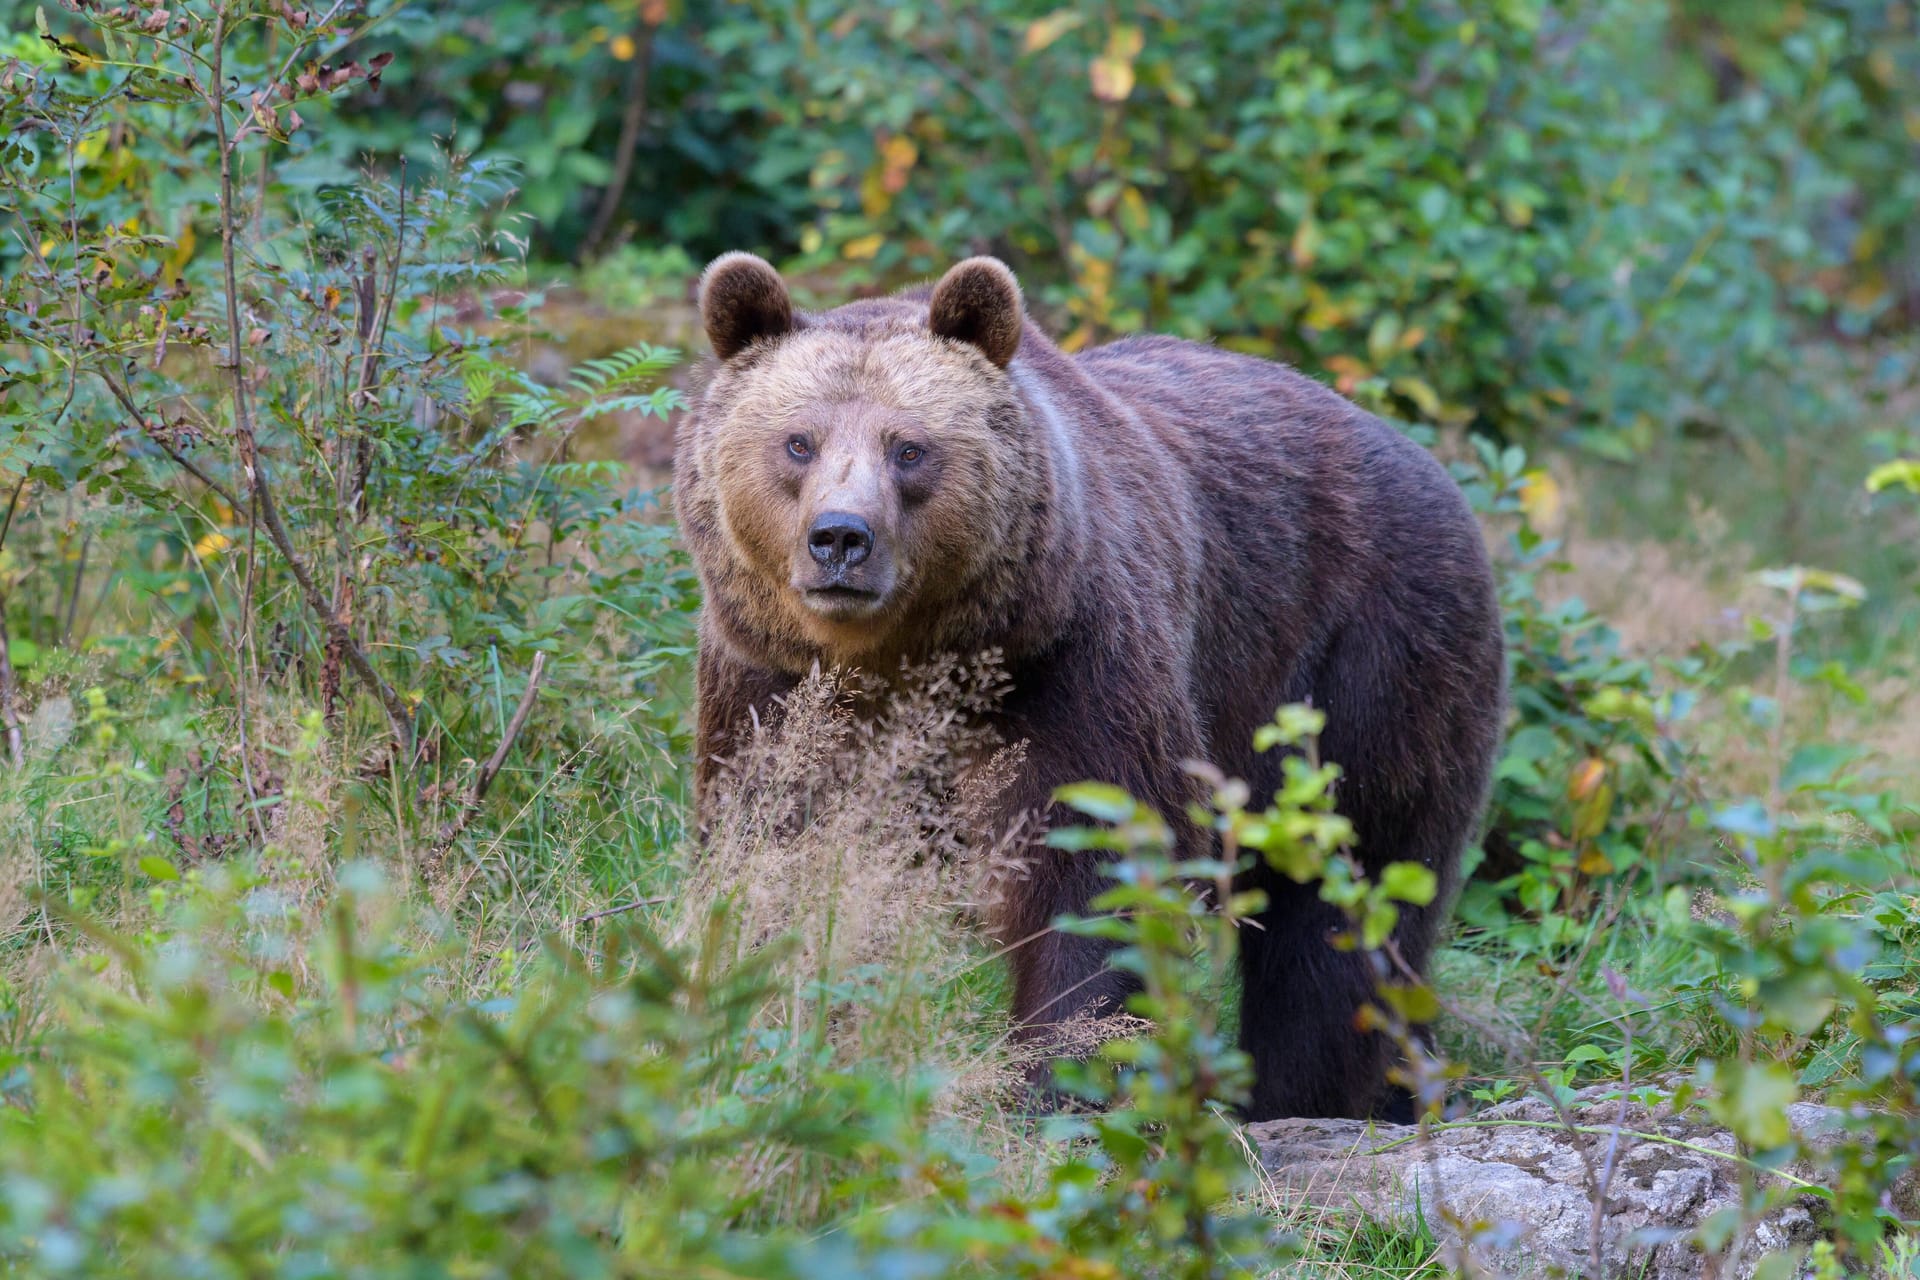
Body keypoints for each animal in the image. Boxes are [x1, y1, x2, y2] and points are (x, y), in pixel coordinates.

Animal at [683, 253, 1505, 1120]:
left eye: (909, 449)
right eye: (798, 442)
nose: (841, 537)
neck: (906, 659)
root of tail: (1432, 465)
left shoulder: (1073, 662)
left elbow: (1097, 858)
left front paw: (1061, 1075)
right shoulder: (771, 684)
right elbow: (776, 840)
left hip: (1371, 658)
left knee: (1349, 895)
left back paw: (1317, 1094)